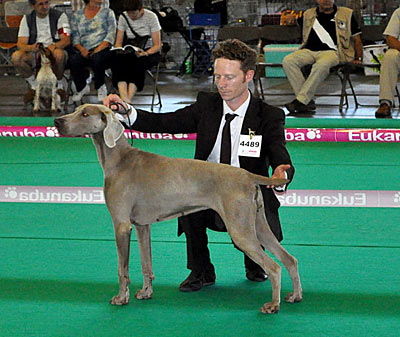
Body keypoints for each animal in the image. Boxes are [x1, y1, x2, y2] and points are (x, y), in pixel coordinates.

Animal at [54, 104, 304, 312]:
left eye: (85, 114)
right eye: (76, 110)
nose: (57, 121)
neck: (120, 159)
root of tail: (248, 175)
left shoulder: (122, 225)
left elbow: (122, 269)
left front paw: (121, 298)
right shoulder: (142, 226)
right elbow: (146, 264)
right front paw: (145, 292)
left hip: (240, 229)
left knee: (274, 266)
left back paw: (273, 305)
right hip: (258, 224)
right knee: (290, 259)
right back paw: (295, 296)